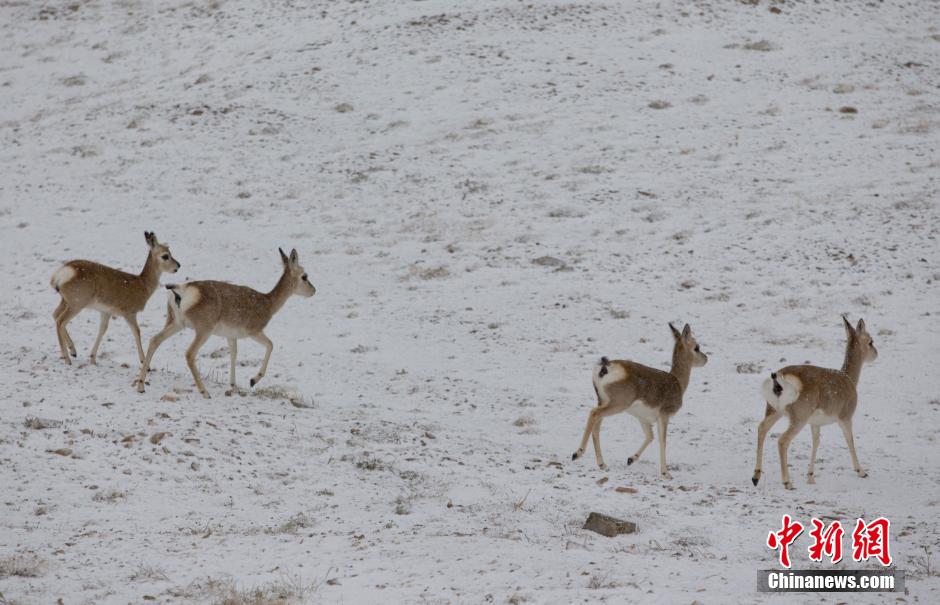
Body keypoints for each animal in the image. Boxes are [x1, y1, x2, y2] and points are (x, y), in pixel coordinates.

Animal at [50, 231, 181, 366]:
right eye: (165, 256)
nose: (178, 265)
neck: (143, 285)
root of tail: (61, 273)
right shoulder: (129, 312)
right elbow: (137, 331)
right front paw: (144, 361)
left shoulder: (106, 311)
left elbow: (102, 330)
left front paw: (92, 358)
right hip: (77, 302)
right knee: (60, 321)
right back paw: (68, 357)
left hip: (66, 300)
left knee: (55, 314)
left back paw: (72, 351)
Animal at [134, 247, 316, 399]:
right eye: (304, 276)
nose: (314, 290)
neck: (268, 303)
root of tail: (180, 291)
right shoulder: (254, 331)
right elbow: (271, 345)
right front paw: (252, 380)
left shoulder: (231, 336)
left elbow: (234, 355)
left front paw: (234, 387)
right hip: (203, 329)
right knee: (189, 353)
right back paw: (205, 392)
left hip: (176, 323)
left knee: (154, 340)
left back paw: (141, 386)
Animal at [571, 323, 708, 479]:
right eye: (696, 347)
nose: (706, 358)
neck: (677, 382)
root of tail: (606, 366)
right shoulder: (664, 416)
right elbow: (662, 441)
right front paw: (666, 473)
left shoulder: (643, 419)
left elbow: (650, 436)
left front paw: (630, 459)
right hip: (617, 405)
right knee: (594, 414)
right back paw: (577, 454)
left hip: (603, 402)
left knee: (597, 424)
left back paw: (601, 464)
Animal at [752, 317, 878, 490]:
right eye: (871, 341)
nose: (876, 353)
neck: (849, 378)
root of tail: (779, 378)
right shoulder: (845, 418)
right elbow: (849, 440)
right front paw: (862, 472)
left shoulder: (815, 424)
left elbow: (816, 442)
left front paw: (811, 477)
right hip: (798, 419)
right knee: (782, 440)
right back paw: (787, 482)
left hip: (774, 411)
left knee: (762, 428)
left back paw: (755, 477)